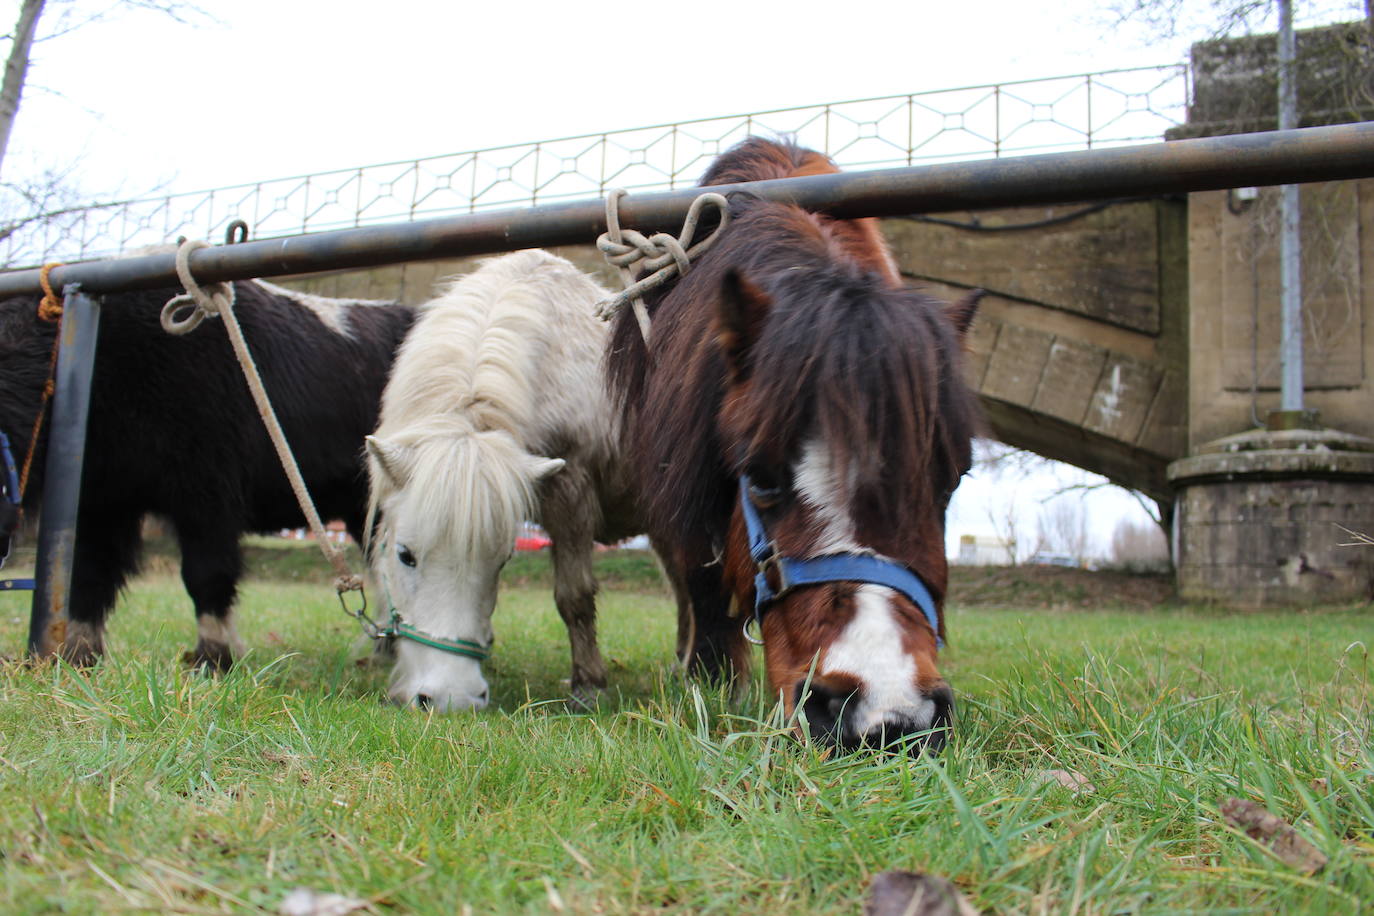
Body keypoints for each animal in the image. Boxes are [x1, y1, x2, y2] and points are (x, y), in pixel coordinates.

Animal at [365, 252, 643, 714]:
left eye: (502, 560)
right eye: (405, 555)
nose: (453, 698)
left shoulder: (571, 494)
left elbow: (574, 596)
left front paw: (589, 684)